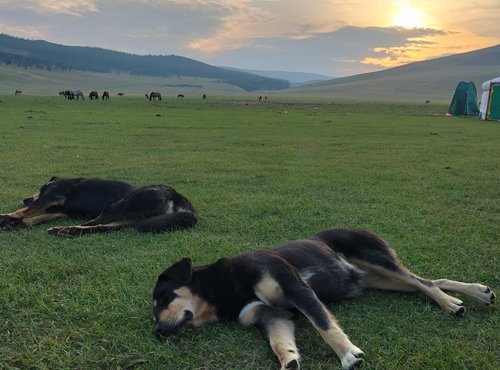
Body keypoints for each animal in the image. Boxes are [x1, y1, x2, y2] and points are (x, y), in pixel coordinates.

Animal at [0, 177, 198, 237]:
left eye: (39, 190)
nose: (25, 198)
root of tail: (178, 197)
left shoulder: (54, 194)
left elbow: (29, 209)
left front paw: (8, 217)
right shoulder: (61, 212)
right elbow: (37, 216)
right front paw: (19, 223)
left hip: (118, 205)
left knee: (94, 223)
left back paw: (64, 230)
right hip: (128, 219)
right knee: (101, 227)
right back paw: (68, 231)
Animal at [152, 228, 496, 370]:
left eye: (160, 298)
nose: (155, 331)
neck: (227, 288)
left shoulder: (296, 288)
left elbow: (324, 325)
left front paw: (348, 355)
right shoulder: (271, 316)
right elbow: (280, 343)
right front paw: (290, 361)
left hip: (376, 259)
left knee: (423, 282)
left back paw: (449, 303)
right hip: (382, 280)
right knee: (430, 282)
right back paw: (475, 293)